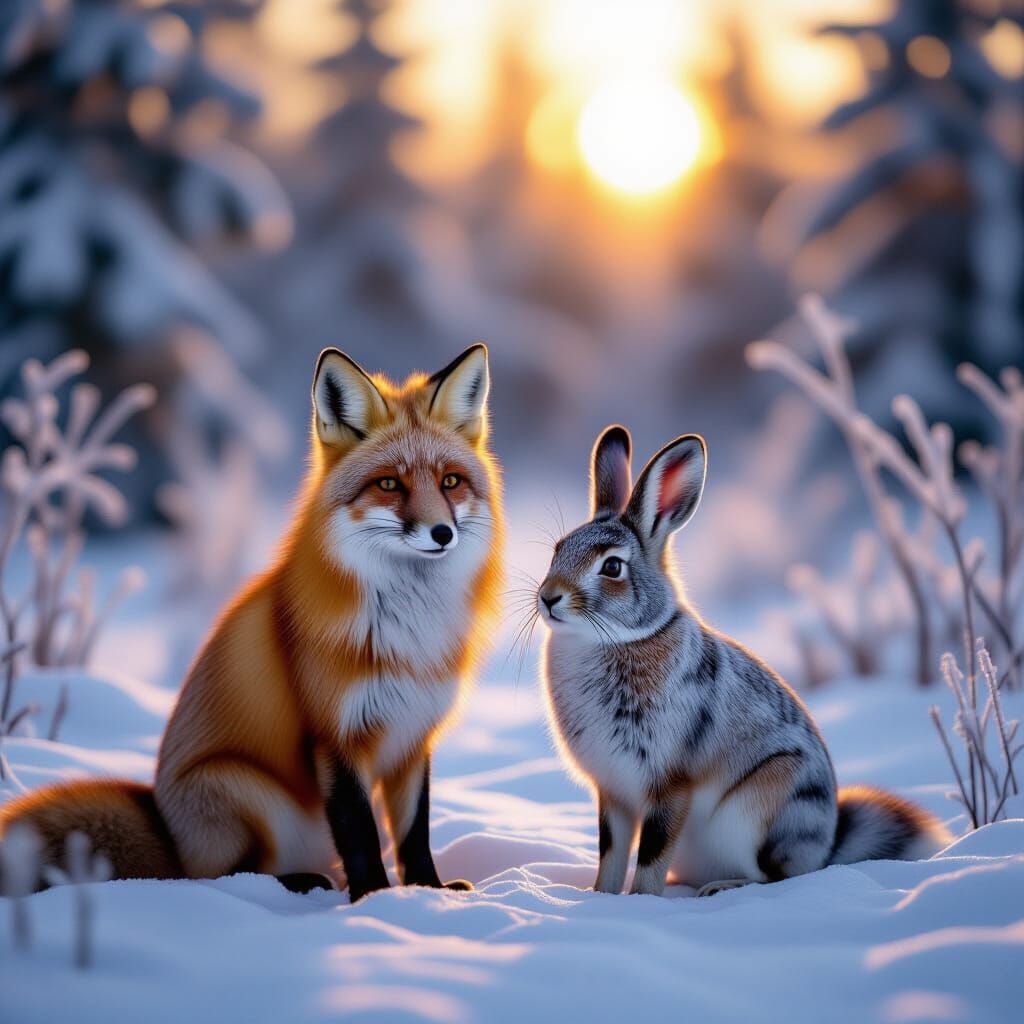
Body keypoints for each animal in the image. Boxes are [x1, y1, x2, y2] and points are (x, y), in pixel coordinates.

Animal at [0, 345, 503, 900]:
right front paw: (373, 898)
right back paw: (300, 882)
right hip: (246, 788)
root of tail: (167, 830)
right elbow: (359, 832)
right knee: (224, 876)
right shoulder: (334, 735)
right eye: (390, 483)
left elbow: (414, 831)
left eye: (450, 481)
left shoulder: (413, 738)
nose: (441, 533)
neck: (408, 631)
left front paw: (427, 893)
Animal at [538, 425, 952, 897]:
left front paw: (640, 901)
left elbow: (652, 855)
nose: (548, 597)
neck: (617, 639)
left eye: (611, 568)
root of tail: (826, 847)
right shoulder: (614, 792)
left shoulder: (670, 784)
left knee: (772, 877)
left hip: (758, 809)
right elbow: (611, 851)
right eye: (558, 549)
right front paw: (600, 899)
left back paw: (721, 889)